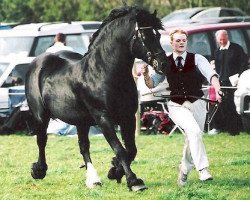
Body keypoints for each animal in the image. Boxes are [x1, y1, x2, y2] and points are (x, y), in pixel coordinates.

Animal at [24, 5, 168, 191]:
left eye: (158, 35)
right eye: (145, 35)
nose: (164, 63)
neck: (103, 72)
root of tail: (38, 62)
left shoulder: (127, 117)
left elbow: (131, 149)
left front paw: (115, 171)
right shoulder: (103, 118)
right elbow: (120, 149)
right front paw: (134, 181)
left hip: (81, 121)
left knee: (84, 147)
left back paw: (93, 180)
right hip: (41, 116)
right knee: (42, 141)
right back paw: (39, 170)